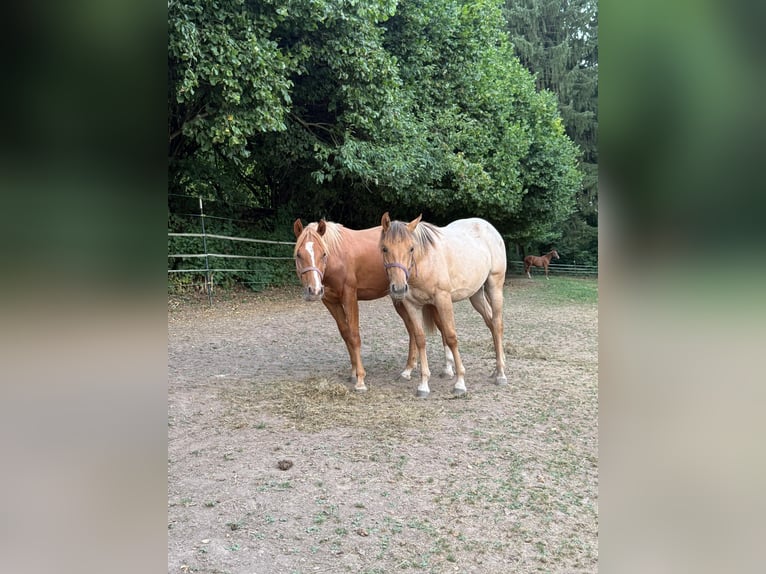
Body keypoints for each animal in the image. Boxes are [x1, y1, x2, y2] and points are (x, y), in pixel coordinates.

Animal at [293, 219, 451, 391]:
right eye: (299, 254)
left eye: (323, 254)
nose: (313, 290)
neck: (337, 257)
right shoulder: (330, 301)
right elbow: (346, 334)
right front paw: (353, 372)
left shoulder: (350, 297)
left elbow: (354, 336)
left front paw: (360, 380)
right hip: (400, 299)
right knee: (412, 330)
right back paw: (408, 370)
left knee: (442, 328)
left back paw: (447, 370)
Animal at [379, 212, 508, 398]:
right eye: (384, 248)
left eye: (411, 248)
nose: (398, 288)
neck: (425, 261)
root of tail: (490, 229)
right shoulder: (412, 305)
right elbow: (419, 339)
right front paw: (423, 385)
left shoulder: (443, 299)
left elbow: (451, 337)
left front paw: (460, 383)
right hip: (476, 295)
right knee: (490, 323)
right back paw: (496, 369)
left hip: (494, 286)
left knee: (497, 324)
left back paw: (501, 374)